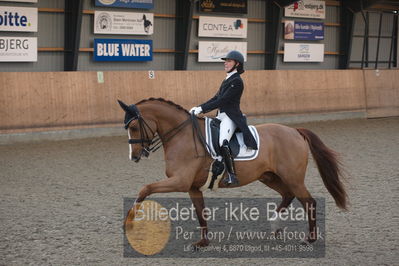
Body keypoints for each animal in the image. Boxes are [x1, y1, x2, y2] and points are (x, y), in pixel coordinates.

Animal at [118, 97, 346, 245]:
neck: (182, 135)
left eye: (134, 128)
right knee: (288, 195)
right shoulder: (192, 187)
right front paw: (203, 242)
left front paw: (128, 223)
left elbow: (145, 189)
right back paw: (275, 227)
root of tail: (295, 131)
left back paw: (310, 238)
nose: (134, 156)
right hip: (269, 176)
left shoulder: (180, 181)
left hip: (293, 178)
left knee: (309, 202)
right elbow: (201, 213)